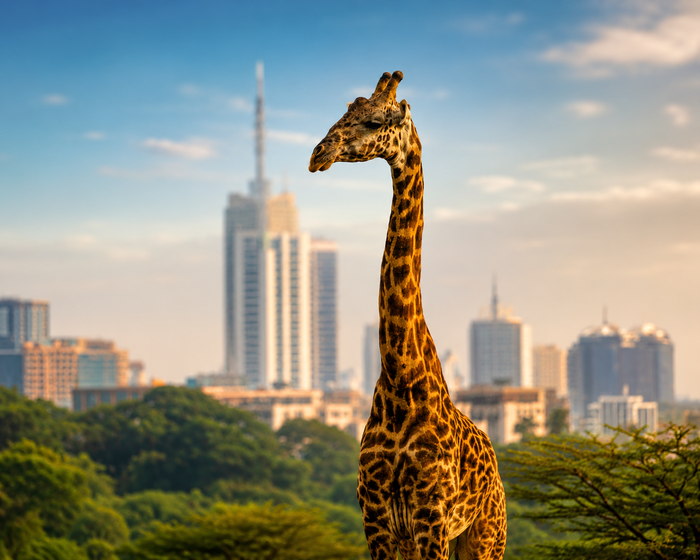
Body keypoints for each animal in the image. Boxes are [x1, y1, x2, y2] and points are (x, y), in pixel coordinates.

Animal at [309, 71, 506, 560]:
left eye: (377, 120)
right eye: (344, 112)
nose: (318, 154)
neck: (401, 377)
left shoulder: (430, 517)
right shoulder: (377, 520)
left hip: (485, 534)